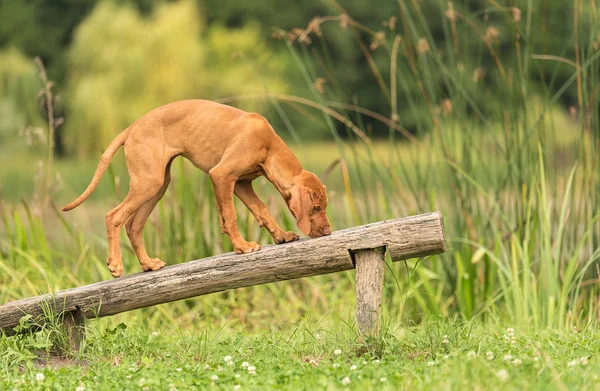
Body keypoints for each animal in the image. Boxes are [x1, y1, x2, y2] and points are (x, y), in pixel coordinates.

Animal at [62, 101, 332, 278]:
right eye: (316, 207)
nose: (328, 232)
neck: (269, 146)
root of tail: (132, 127)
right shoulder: (222, 175)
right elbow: (231, 217)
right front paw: (242, 247)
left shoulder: (241, 183)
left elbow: (262, 210)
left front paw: (281, 236)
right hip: (147, 182)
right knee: (113, 217)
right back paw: (116, 265)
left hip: (158, 184)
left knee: (133, 225)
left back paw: (148, 264)